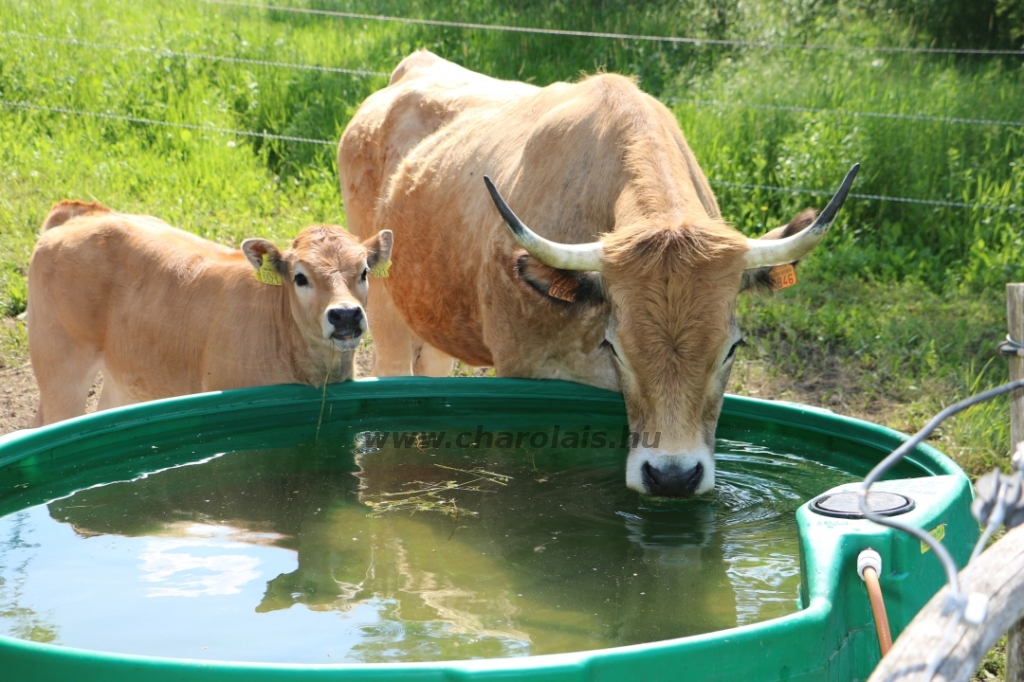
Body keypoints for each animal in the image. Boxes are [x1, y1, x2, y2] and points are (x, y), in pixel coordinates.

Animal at [29, 197, 391, 425]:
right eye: (300, 277)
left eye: (363, 272)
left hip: (126, 376)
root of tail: (90, 215)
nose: (345, 314)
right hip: (60, 367)